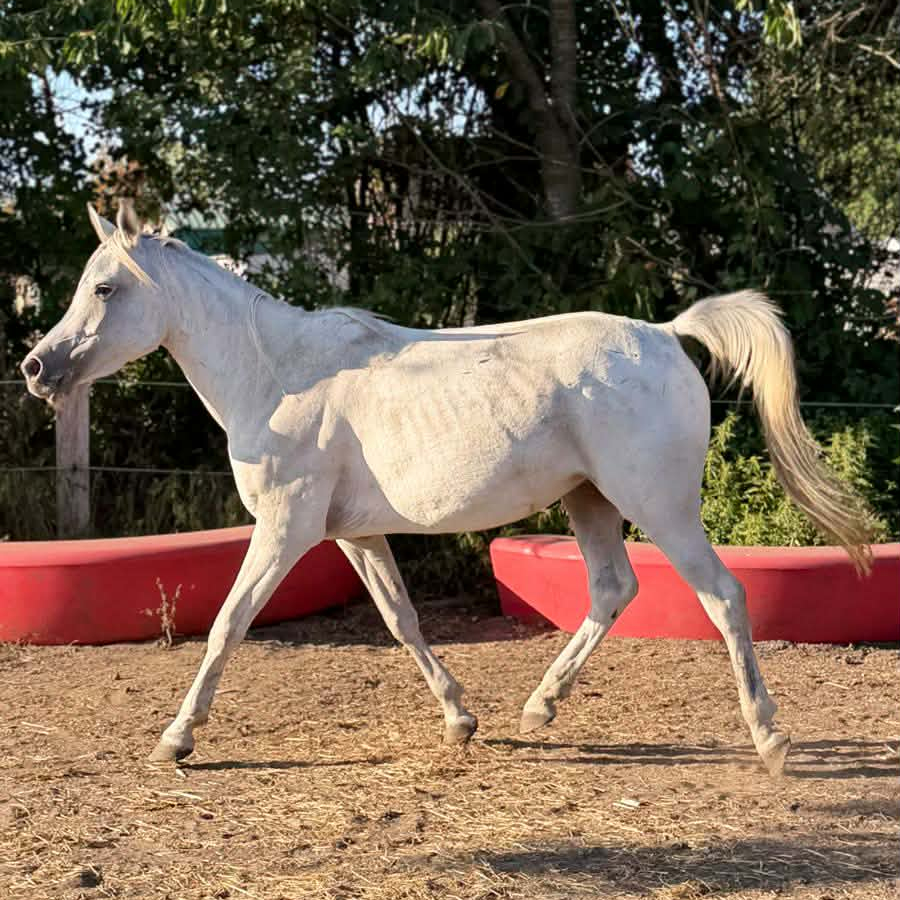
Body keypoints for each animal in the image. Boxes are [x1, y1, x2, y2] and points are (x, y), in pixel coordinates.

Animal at [22, 202, 872, 775]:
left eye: (104, 289)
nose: (37, 367)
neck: (278, 374)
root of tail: (667, 335)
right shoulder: (354, 534)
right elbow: (402, 621)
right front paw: (461, 719)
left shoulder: (285, 530)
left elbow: (229, 624)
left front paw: (177, 739)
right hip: (590, 502)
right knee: (613, 590)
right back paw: (539, 707)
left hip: (657, 505)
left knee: (722, 596)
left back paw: (769, 736)